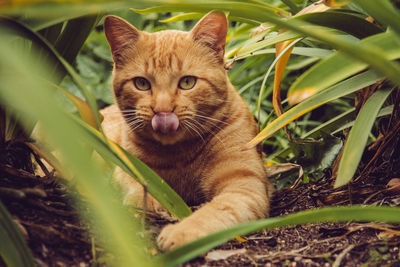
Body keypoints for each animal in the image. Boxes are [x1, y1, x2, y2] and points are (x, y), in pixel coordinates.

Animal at [101, 12, 274, 251]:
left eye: (187, 82)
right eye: (142, 84)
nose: (163, 111)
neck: (178, 156)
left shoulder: (244, 185)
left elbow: (216, 210)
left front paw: (181, 232)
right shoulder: (125, 167)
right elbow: (136, 187)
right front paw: (148, 204)